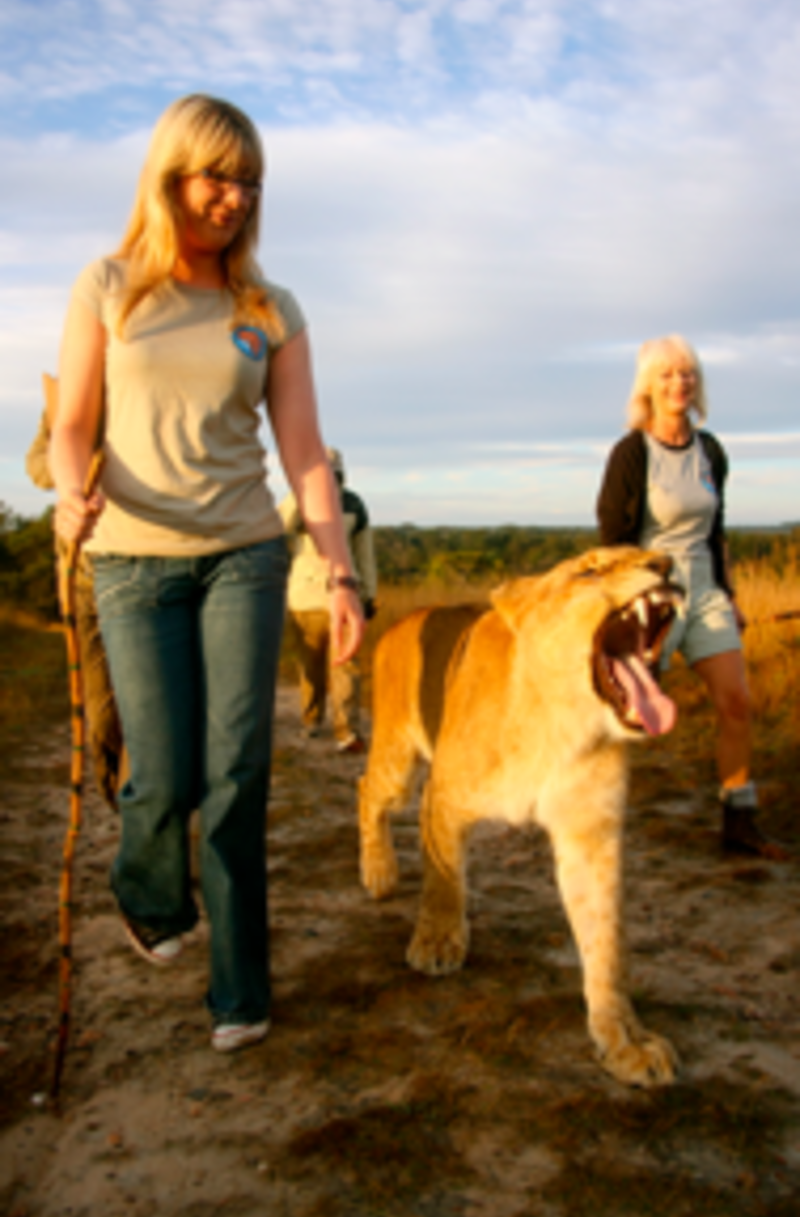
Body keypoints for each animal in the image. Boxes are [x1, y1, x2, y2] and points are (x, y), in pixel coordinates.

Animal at [358, 546, 684, 1087]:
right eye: (590, 570)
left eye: (657, 557)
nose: (666, 565)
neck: (562, 721)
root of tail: (402, 620)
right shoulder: (443, 796)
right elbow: (442, 880)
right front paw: (437, 943)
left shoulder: (590, 833)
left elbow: (606, 945)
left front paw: (626, 1041)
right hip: (397, 762)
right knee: (365, 790)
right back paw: (379, 872)